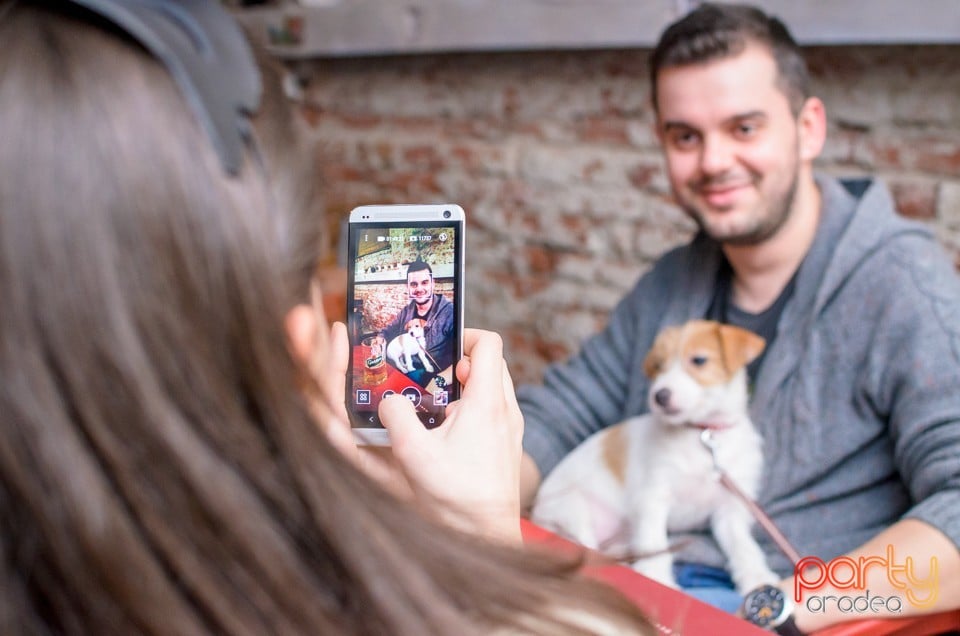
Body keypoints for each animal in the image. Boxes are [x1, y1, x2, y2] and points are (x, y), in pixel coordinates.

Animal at [528, 320, 784, 592]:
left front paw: (757, 577)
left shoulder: (730, 511)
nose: (660, 395)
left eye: (699, 360)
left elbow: (744, 547)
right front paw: (656, 577)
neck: (702, 434)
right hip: (573, 510)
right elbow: (654, 542)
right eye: (658, 365)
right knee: (584, 543)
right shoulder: (653, 497)